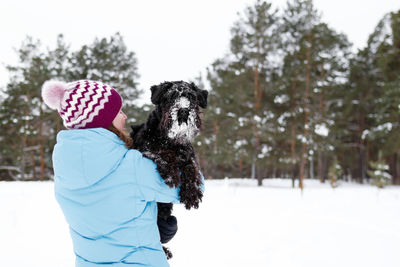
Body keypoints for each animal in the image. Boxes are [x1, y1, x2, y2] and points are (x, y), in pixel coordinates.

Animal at [130, 81, 208, 260]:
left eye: (191, 97)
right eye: (171, 96)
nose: (184, 110)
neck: (172, 141)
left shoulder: (188, 154)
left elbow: (191, 167)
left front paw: (192, 193)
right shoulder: (145, 149)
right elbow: (161, 152)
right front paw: (172, 174)